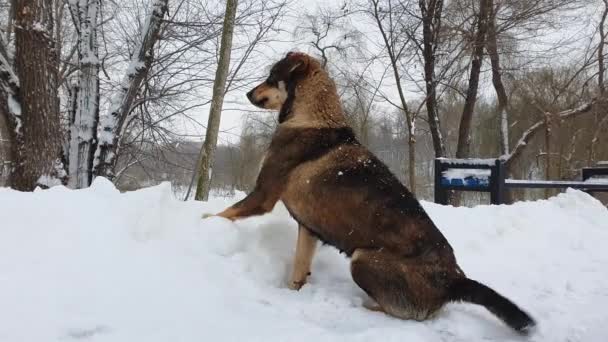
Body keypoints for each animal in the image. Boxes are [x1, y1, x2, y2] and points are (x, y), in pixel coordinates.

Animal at [205, 52, 536, 332]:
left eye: (273, 76)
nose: (248, 94)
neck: (313, 116)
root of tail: (454, 280)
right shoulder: (308, 228)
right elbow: (299, 268)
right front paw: (292, 292)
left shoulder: (263, 195)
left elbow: (225, 212)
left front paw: (204, 222)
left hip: (363, 259)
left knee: (404, 313)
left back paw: (364, 307)